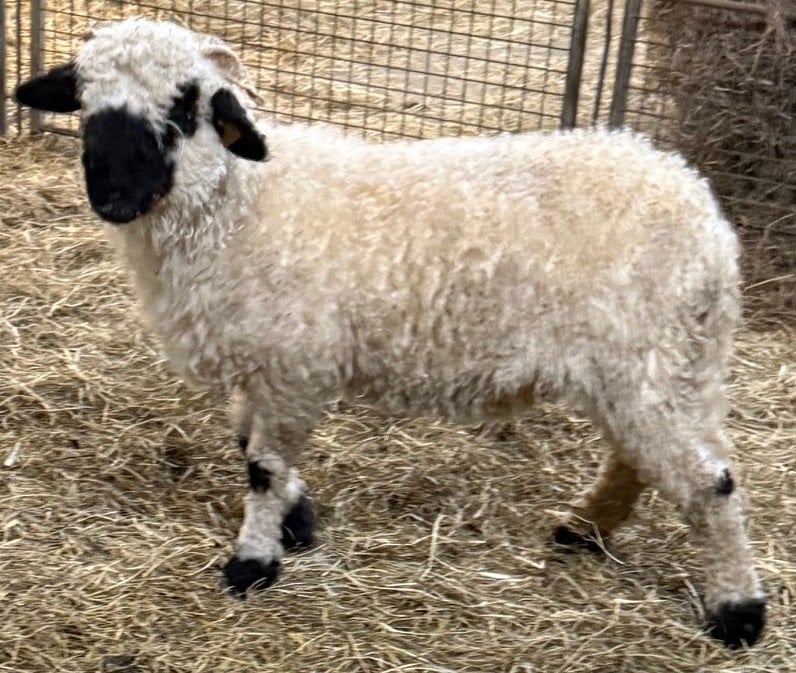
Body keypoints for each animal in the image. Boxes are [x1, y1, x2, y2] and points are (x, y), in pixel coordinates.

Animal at [14, 17, 766, 649]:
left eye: (184, 108)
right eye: (85, 102)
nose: (112, 197)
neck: (240, 205)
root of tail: (706, 218)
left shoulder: (293, 362)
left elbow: (263, 464)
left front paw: (254, 560)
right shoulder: (268, 360)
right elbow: (250, 444)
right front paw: (296, 522)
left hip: (644, 359)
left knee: (710, 483)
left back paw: (738, 611)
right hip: (661, 364)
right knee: (644, 458)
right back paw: (585, 529)